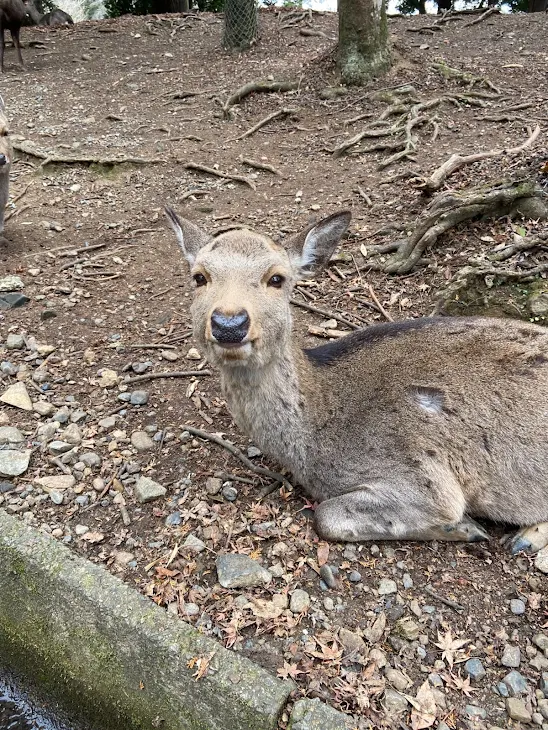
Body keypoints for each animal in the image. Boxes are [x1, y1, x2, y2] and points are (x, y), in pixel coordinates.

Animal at [165, 208, 548, 556]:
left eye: (277, 278)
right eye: (199, 277)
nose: (229, 323)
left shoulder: (425, 478)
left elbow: (327, 517)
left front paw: (466, 528)